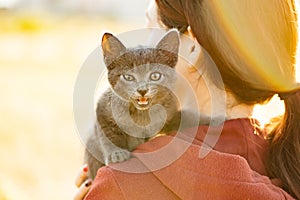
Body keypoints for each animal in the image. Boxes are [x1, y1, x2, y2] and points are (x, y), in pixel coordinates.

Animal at [85, 29, 182, 178]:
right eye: (128, 77)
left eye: (155, 76)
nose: (142, 90)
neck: (141, 114)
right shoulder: (102, 109)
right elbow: (106, 133)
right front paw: (116, 152)